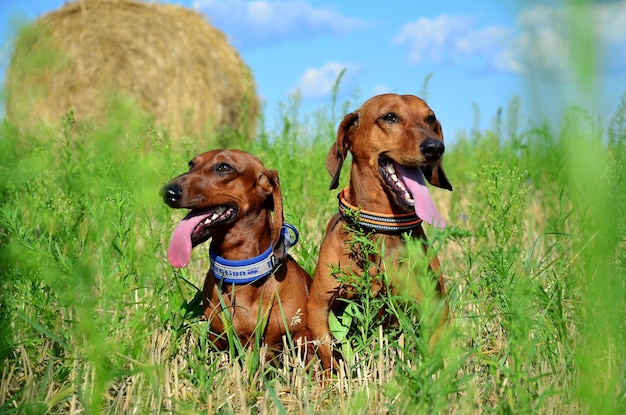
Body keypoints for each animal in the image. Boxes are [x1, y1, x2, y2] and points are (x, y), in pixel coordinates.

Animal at [306, 94, 448, 374]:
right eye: (389, 117)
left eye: (430, 118)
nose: (436, 147)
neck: (382, 226)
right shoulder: (317, 305)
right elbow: (327, 350)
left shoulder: (435, 308)